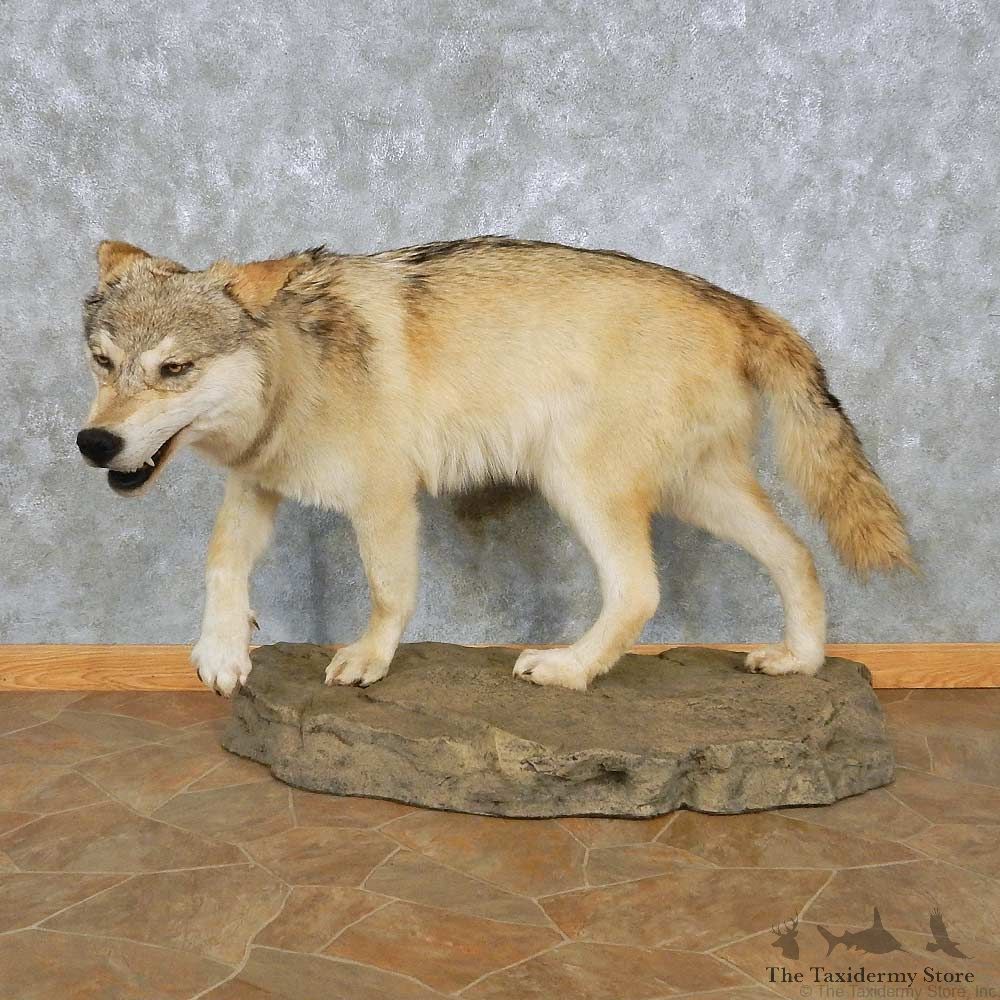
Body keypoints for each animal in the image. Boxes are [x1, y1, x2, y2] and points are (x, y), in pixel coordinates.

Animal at [77, 237, 914, 695]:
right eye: (103, 363)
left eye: (174, 369)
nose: (94, 445)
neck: (295, 365)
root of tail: (736, 302)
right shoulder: (256, 484)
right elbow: (221, 564)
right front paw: (222, 654)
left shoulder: (384, 499)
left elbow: (388, 593)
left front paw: (369, 661)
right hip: (698, 494)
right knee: (798, 555)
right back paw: (800, 660)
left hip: (581, 485)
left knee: (641, 590)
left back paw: (570, 669)